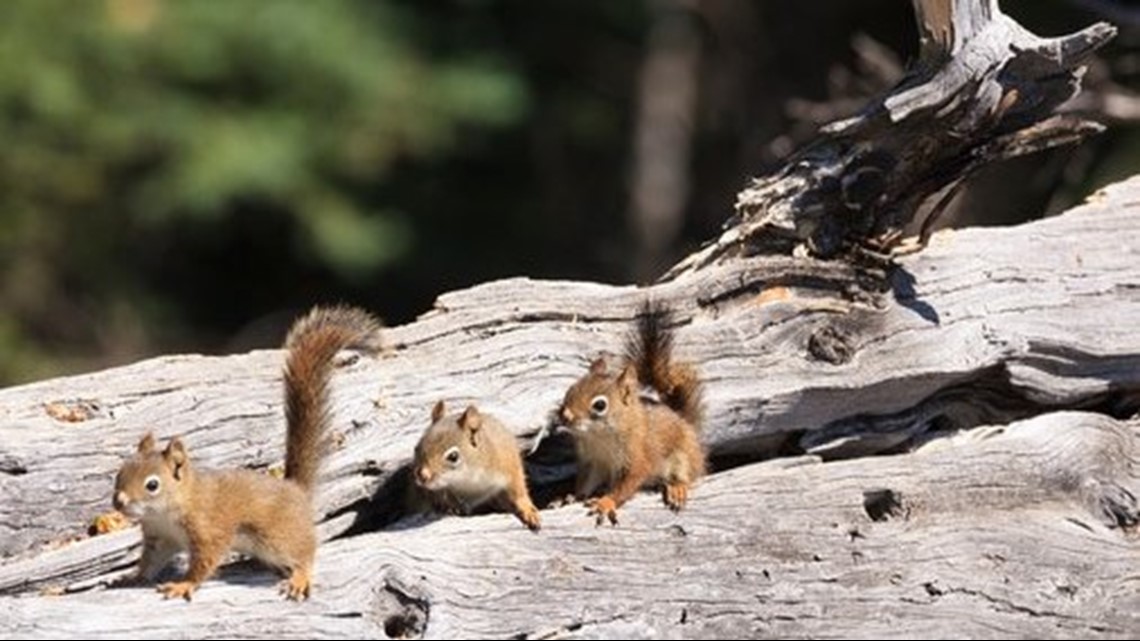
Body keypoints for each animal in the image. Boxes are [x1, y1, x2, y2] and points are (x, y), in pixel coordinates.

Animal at [111, 305, 383, 601]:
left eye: (152, 485)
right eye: (119, 475)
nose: (119, 502)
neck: (169, 509)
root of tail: (296, 490)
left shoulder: (209, 531)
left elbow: (204, 562)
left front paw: (184, 584)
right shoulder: (160, 538)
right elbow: (150, 563)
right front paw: (132, 578)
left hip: (277, 537)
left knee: (305, 552)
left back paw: (300, 577)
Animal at [412, 400, 541, 531]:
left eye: (453, 456)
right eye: (416, 449)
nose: (422, 475)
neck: (469, 479)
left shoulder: (508, 465)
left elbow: (518, 491)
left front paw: (528, 511)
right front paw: (450, 506)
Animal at [557, 301, 705, 525]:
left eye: (599, 405)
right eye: (570, 390)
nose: (565, 416)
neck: (599, 437)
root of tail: (685, 421)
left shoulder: (637, 457)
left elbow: (627, 484)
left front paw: (605, 502)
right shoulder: (593, 462)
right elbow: (586, 483)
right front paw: (572, 496)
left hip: (685, 456)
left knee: (688, 475)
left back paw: (677, 487)